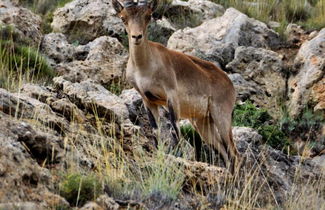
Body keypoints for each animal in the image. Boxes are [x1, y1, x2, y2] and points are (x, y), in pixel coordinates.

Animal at [112, 0, 239, 171]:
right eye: (123, 17)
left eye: (149, 16)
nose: (136, 37)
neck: (145, 67)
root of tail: (229, 84)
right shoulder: (148, 100)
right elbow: (155, 130)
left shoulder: (172, 96)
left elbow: (175, 129)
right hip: (203, 122)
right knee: (223, 151)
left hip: (221, 115)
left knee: (233, 152)